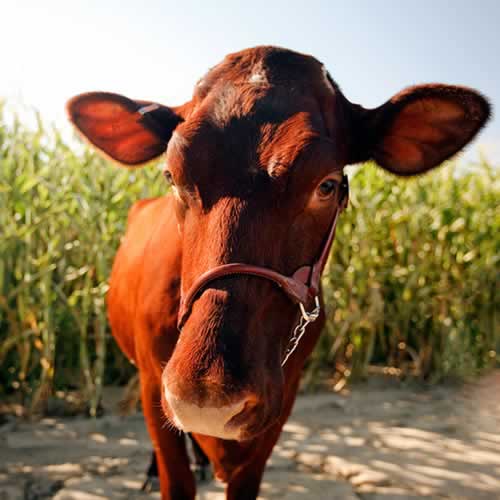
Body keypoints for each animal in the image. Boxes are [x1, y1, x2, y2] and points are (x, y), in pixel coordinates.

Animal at [65, 45, 488, 498]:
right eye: (171, 175)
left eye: (327, 185)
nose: (206, 395)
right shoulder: (152, 382)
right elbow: (174, 472)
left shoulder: (281, 398)